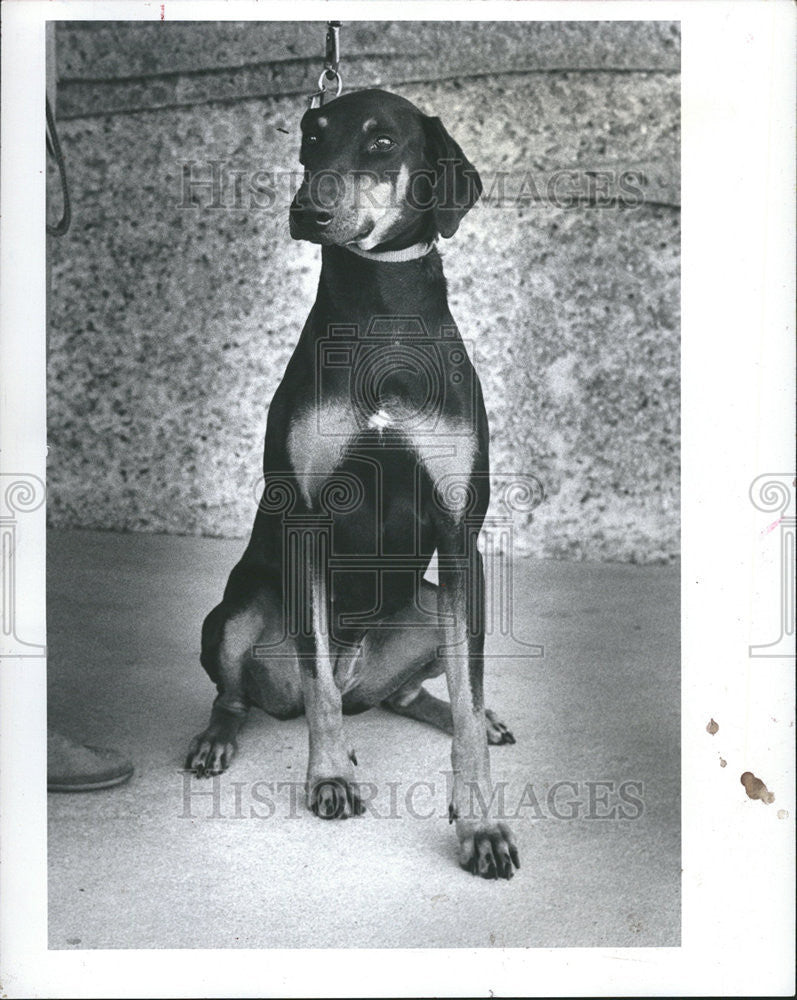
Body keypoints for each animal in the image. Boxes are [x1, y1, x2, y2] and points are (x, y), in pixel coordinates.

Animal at [187, 88, 524, 884]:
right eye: (311, 136)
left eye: (380, 142)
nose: (307, 210)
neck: (382, 308)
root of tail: (359, 675)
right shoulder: (310, 519)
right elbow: (314, 681)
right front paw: (331, 775)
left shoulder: (458, 534)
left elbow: (468, 695)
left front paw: (480, 822)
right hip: (238, 609)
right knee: (241, 692)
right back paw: (221, 737)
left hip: (429, 606)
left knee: (416, 692)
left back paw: (467, 714)